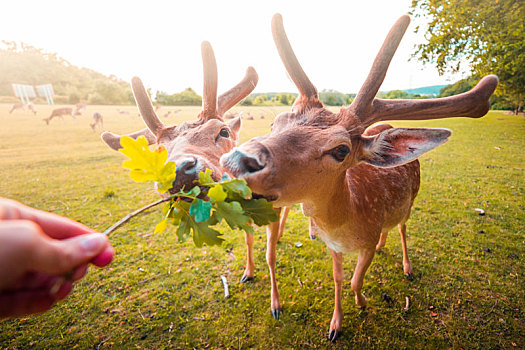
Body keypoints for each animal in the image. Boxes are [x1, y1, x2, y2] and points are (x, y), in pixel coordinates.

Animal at [219, 14, 498, 342]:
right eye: (276, 122)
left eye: (341, 150)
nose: (238, 160)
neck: (347, 225)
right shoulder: (332, 245)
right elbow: (339, 279)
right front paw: (335, 325)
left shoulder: (365, 239)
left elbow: (356, 280)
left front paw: (363, 303)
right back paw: (382, 246)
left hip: (412, 199)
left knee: (403, 227)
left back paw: (407, 266)